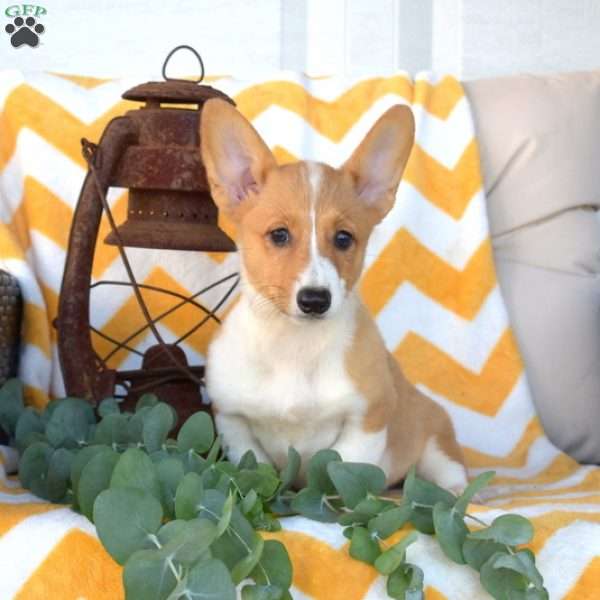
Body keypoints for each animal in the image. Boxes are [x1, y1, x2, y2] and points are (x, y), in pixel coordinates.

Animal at [202, 98, 468, 492]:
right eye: (279, 235)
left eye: (343, 238)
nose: (315, 300)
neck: (294, 346)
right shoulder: (234, 422)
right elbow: (257, 466)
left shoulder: (365, 422)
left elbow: (339, 473)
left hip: (434, 438)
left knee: (450, 473)